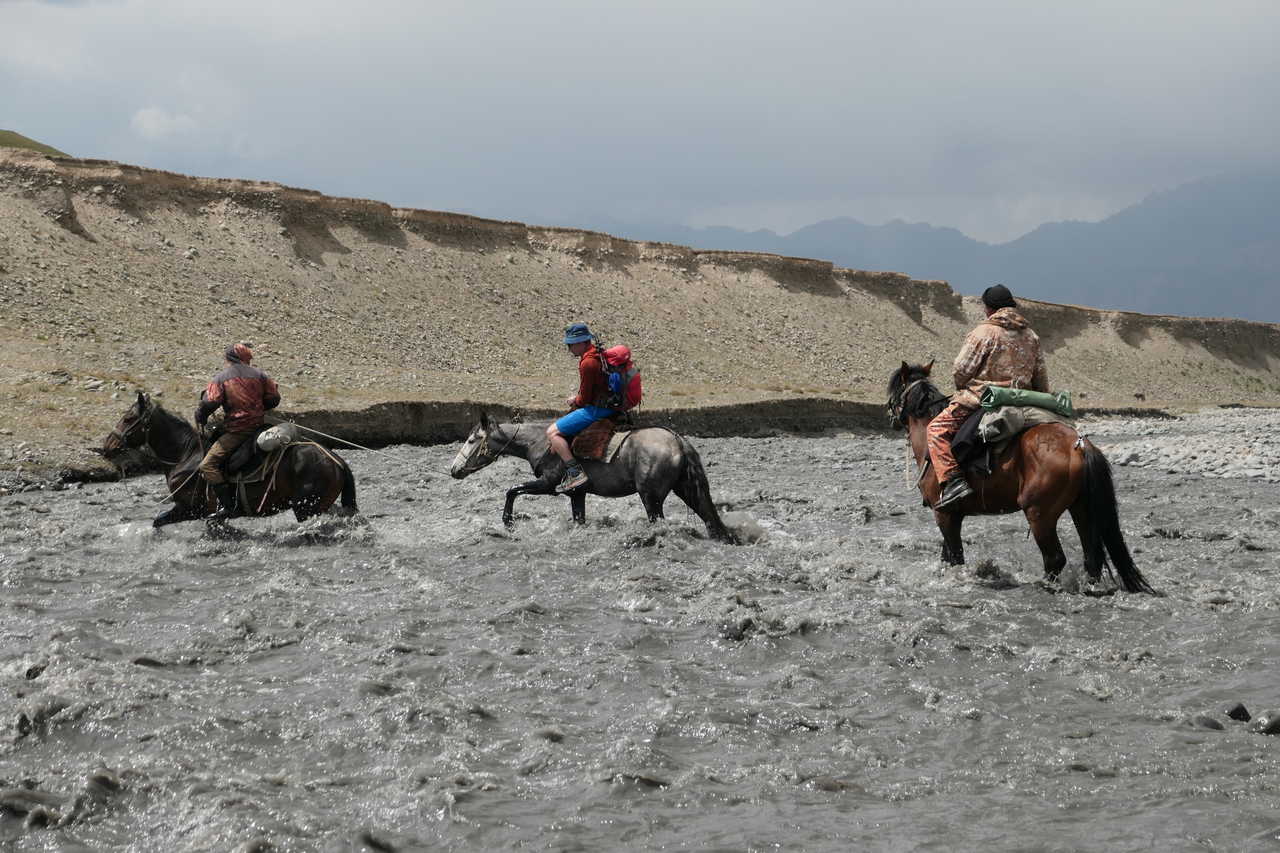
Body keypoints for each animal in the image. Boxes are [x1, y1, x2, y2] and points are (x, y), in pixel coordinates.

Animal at [100, 391, 358, 525]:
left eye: (128, 418)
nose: (107, 446)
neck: (185, 455)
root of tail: (336, 459)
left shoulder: (188, 509)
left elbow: (158, 521)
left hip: (307, 508)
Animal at [450, 412, 737, 540]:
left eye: (472, 439)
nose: (454, 470)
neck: (540, 441)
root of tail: (678, 442)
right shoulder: (577, 494)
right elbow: (579, 517)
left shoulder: (548, 484)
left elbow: (512, 490)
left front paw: (508, 522)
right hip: (688, 490)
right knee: (709, 518)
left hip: (651, 498)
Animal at [890, 358, 1152, 591]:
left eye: (894, 389)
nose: (891, 419)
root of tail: (1079, 445)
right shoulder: (954, 515)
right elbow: (948, 554)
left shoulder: (944, 513)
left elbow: (955, 556)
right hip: (1080, 509)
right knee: (1091, 556)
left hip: (1039, 514)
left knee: (1055, 558)